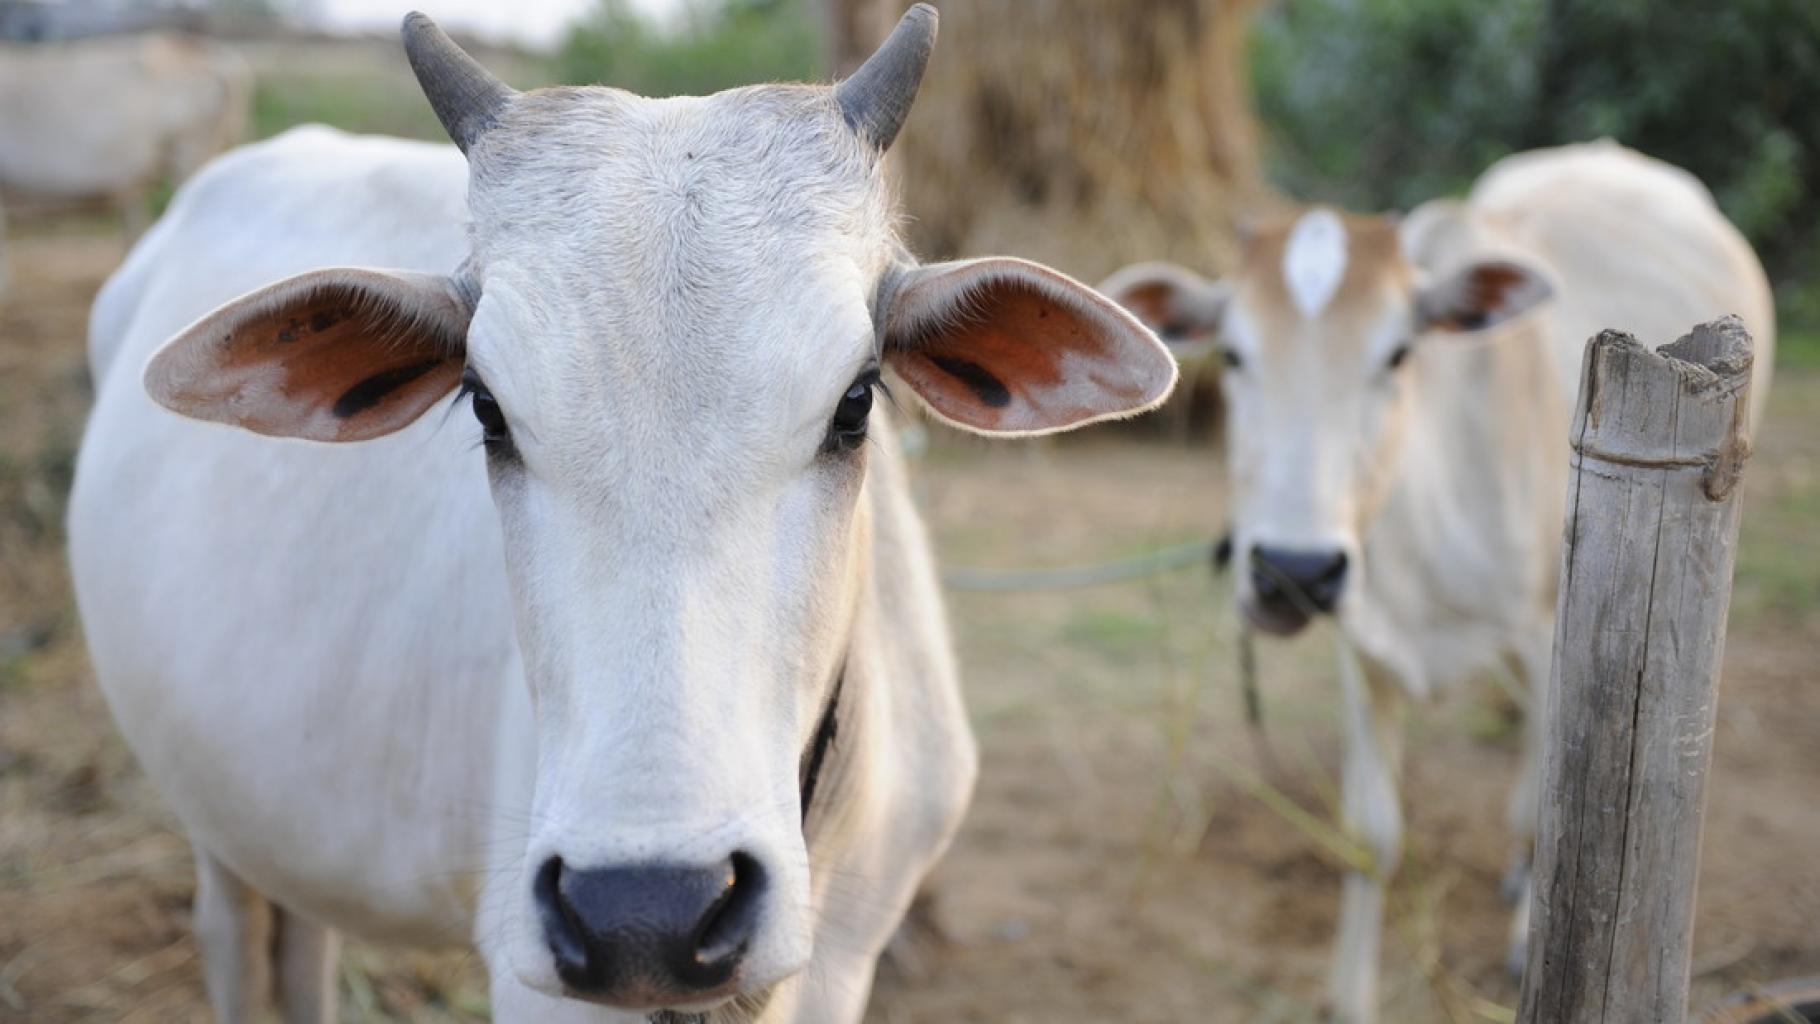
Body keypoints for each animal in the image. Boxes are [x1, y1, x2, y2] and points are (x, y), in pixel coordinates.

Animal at [1101, 141, 1774, 1023]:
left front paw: (1526, 934)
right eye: (1236, 354)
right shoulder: (1363, 648)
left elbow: (1541, 809)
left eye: (1397, 352)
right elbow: (1371, 834)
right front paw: (1351, 996)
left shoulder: (1547, 635)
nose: (1294, 572)